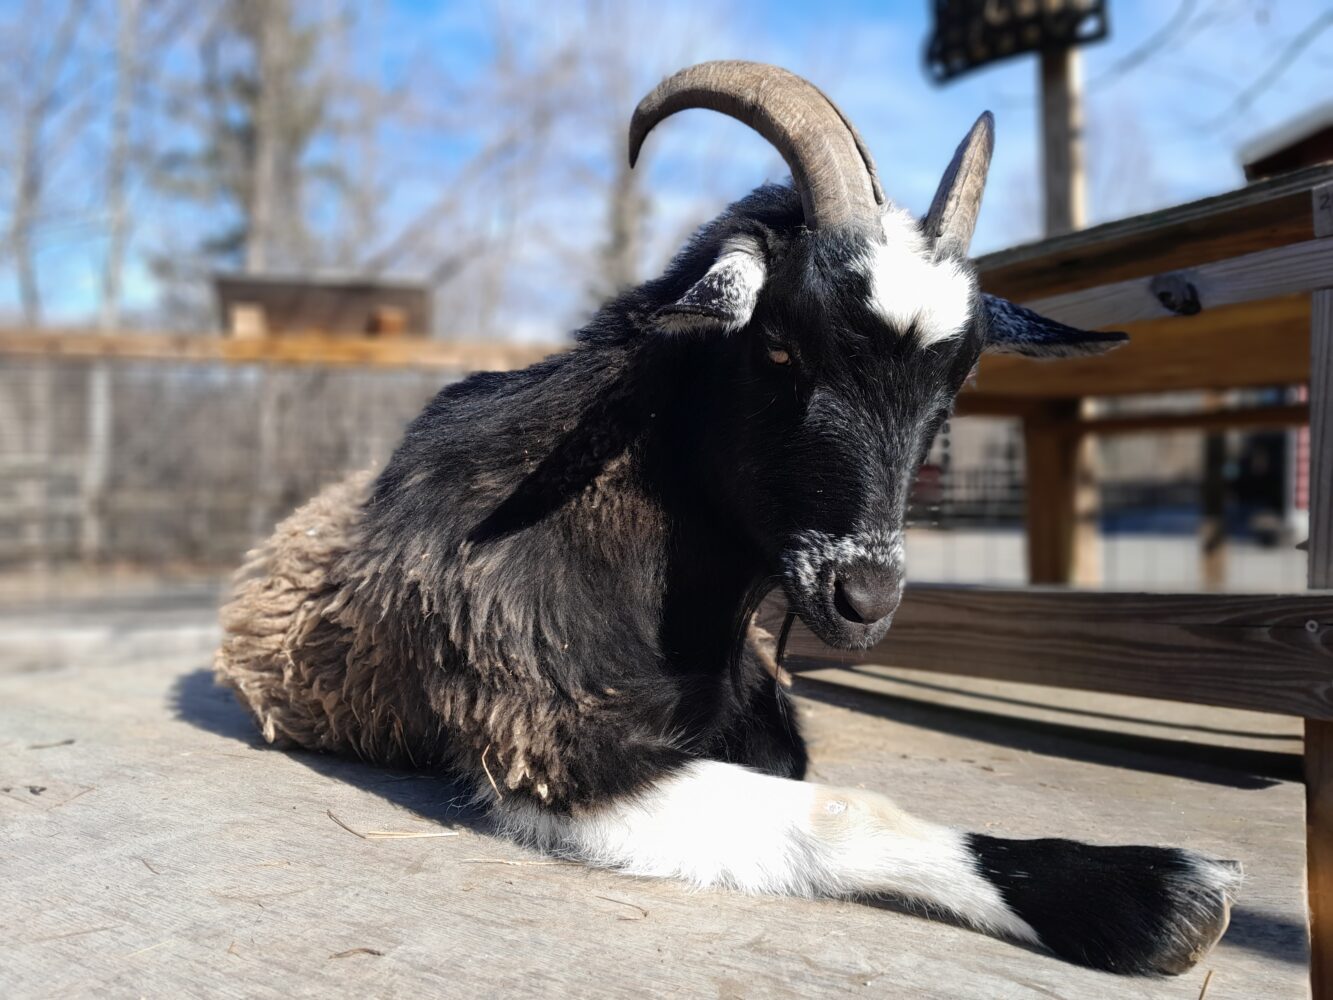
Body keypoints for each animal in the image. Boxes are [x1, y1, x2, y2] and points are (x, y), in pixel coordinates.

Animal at [215, 58, 1237, 976]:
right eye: (779, 346)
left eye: (956, 387)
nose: (865, 597)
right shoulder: (555, 746)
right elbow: (841, 811)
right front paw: (1147, 894)